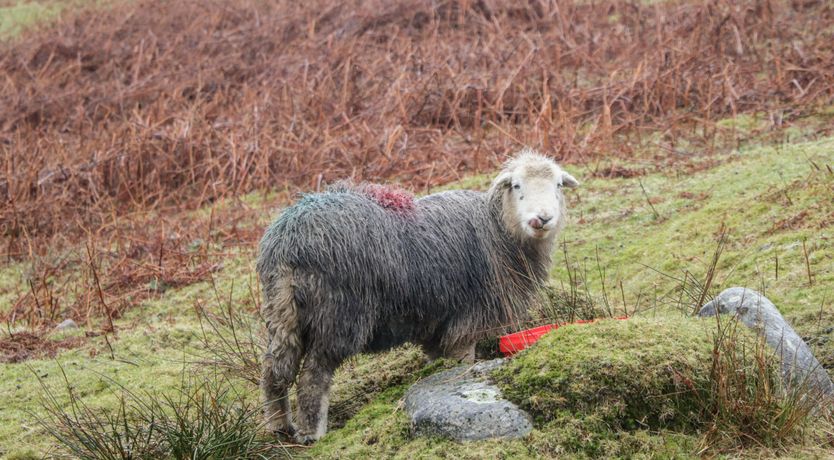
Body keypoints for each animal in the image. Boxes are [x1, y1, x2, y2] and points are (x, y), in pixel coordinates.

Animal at [256, 149, 576, 444]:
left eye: (558, 185)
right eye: (517, 185)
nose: (542, 219)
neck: (498, 230)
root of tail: (290, 240)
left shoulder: (437, 324)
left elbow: (438, 361)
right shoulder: (467, 319)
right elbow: (463, 362)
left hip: (282, 310)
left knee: (274, 369)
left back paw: (279, 426)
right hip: (338, 313)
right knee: (314, 375)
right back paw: (312, 433)